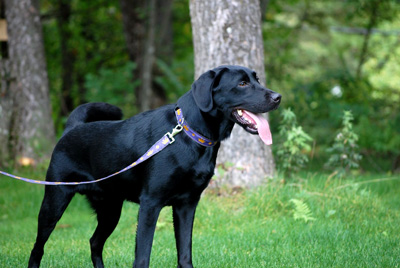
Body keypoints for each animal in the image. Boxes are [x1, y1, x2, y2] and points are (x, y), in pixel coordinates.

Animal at [27, 65, 282, 268]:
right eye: (242, 83)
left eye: (257, 79)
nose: (278, 97)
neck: (189, 133)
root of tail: (72, 128)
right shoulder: (150, 204)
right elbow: (142, 257)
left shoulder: (187, 205)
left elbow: (185, 255)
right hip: (54, 203)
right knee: (38, 247)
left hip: (111, 210)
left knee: (94, 243)